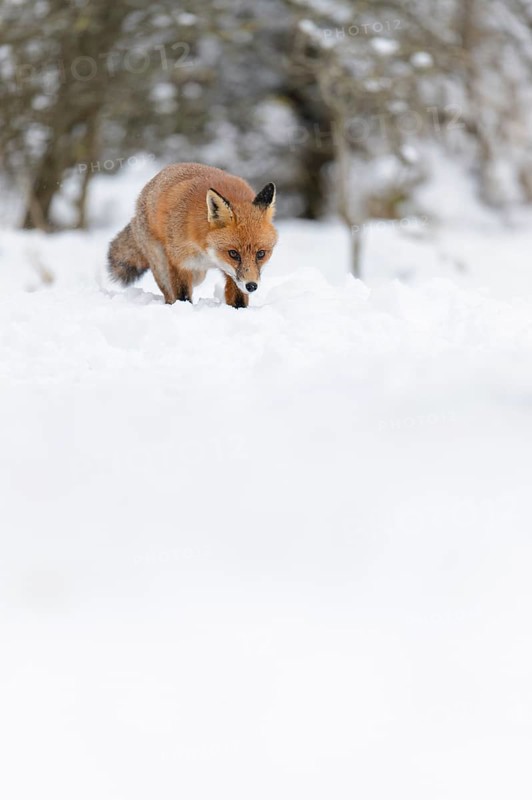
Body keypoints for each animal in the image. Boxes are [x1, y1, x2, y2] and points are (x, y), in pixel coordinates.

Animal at [107, 163, 278, 308]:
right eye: (233, 254)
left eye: (261, 254)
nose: (252, 286)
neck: (207, 253)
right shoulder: (179, 263)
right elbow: (182, 297)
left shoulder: (231, 274)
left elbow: (238, 299)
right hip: (163, 265)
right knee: (169, 294)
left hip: (199, 275)